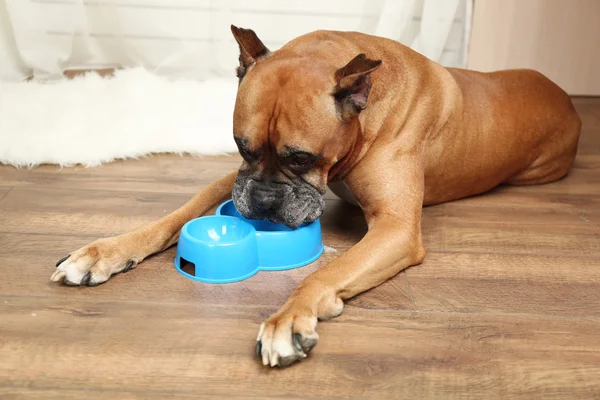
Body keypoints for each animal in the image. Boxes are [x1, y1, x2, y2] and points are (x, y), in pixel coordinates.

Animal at [50, 26, 580, 368]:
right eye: (242, 146)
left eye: (302, 158)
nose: (264, 201)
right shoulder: (232, 180)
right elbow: (175, 214)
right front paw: (104, 252)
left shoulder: (396, 228)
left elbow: (325, 272)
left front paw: (288, 320)